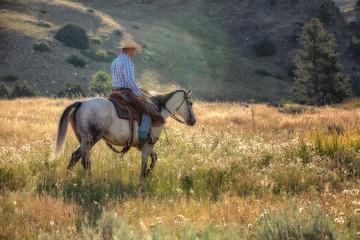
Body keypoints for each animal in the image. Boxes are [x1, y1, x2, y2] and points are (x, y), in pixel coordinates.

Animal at [52, 89, 197, 179]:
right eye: (190, 103)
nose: (193, 121)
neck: (157, 111)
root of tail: (81, 103)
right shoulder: (148, 146)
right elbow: (144, 165)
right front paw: (143, 179)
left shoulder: (143, 146)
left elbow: (155, 157)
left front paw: (149, 173)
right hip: (90, 139)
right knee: (75, 157)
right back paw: (68, 180)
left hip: (84, 140)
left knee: (85, 161)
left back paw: (89, 180)